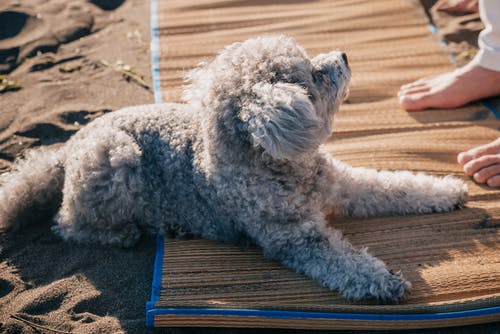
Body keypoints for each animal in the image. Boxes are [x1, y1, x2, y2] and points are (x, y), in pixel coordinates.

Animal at [0, 36, 468, 302]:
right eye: (314, 75)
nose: (344, 54)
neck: (281, 167)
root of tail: (70, 144)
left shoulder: (345, 185)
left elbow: (395, 185)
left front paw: (447, 191)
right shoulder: (295, 239)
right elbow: (343, 262)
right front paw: (382, 281)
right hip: (115, 156)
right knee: (67, 222)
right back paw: (124, 232)